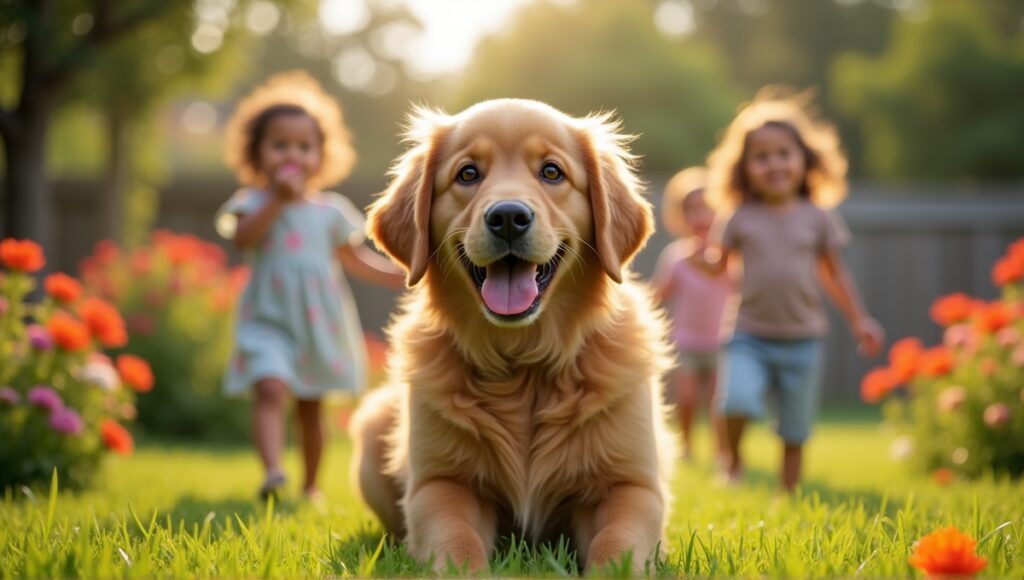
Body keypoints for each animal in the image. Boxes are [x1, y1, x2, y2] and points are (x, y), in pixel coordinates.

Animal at [352, 98, 679, 573]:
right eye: (468, 173)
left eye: (552, 172)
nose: (508, 217)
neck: (524, 364)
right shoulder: (440, 483)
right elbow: (456, 542)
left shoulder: (631, 485)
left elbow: (618, 544)